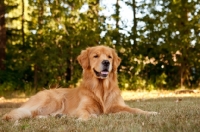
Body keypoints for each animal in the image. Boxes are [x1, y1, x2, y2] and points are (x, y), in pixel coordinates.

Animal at [1, 45, 158, 120]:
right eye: (96, 56)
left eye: (109, 57)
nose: (106, 62)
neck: (101, 89)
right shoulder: (82, 108)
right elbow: (85, 114)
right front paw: (85, 119)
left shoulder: (118, 106)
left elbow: (136, 110)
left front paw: (150, 113)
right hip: (53, 99)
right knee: (28, 113)